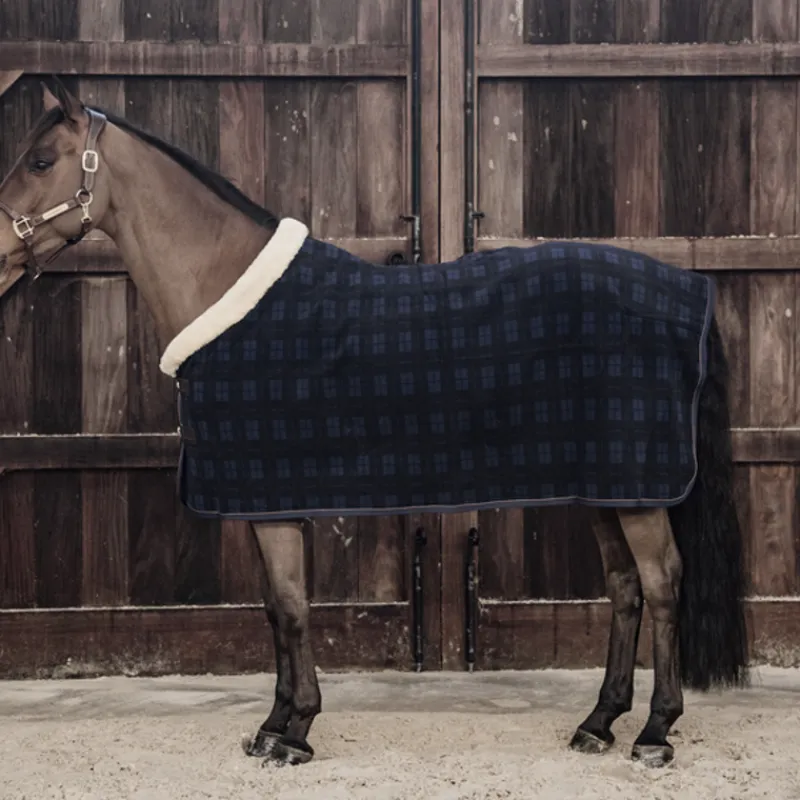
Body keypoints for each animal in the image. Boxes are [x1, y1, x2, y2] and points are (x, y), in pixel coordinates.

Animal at [0, 78, 749, 769]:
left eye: (40, 160)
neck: (232, 294)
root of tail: (691, 291)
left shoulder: (274, 504)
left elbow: (293, 609)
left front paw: (295, 732)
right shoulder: (261, 503)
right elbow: (274, 609)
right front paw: (272, 725)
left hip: (639, 489)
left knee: (662, 583)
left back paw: (655, 731)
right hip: (608, 485)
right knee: (625, 586)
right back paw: (599, 721)